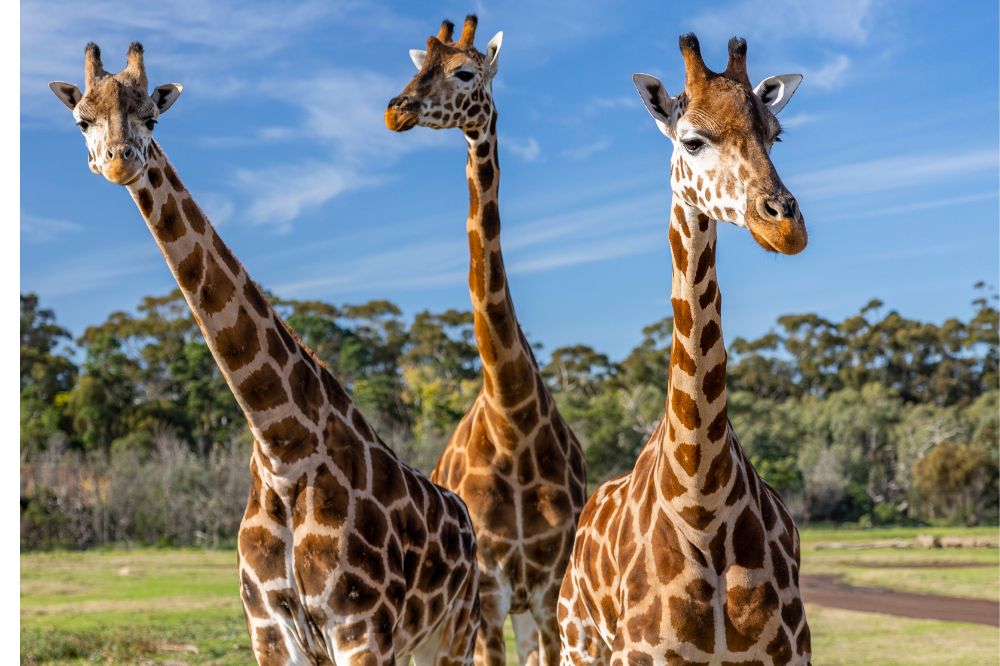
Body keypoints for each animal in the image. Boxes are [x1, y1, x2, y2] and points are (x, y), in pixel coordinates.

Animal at [49, 42, 480, 666]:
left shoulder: (361, 627)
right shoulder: (269, 629)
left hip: (454, 631)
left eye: (152, 119)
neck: (282, 447)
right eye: (82, 119)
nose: (119, 161)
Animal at [385, 16, 587, 666]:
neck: (512, 420)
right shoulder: (492, 590)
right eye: (418, 66)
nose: (396, 111)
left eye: (464, 72)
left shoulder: (547, 590)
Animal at [557, 34, 812, 665]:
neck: (702, 502)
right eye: (692, 140)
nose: (785, 228)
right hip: (576, 643)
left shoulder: (791, 652)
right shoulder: (640, 654)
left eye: (775, 134)